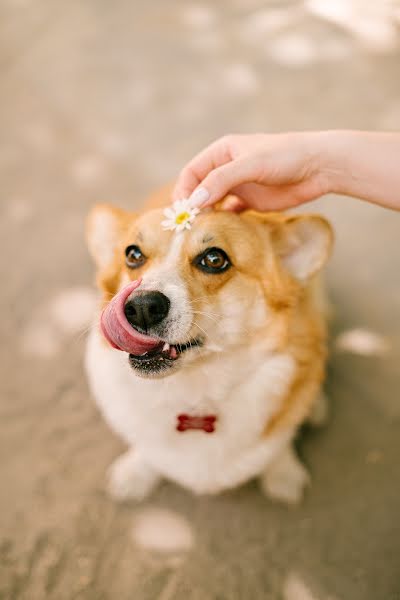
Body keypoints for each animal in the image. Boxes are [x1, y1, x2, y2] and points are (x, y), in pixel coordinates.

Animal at [86, 190, 332, 504]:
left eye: (215, 259)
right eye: (133, 255)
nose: (140, 307)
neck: (196, 392)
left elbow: (280, 440)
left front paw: (282, 473)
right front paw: (135, 473)